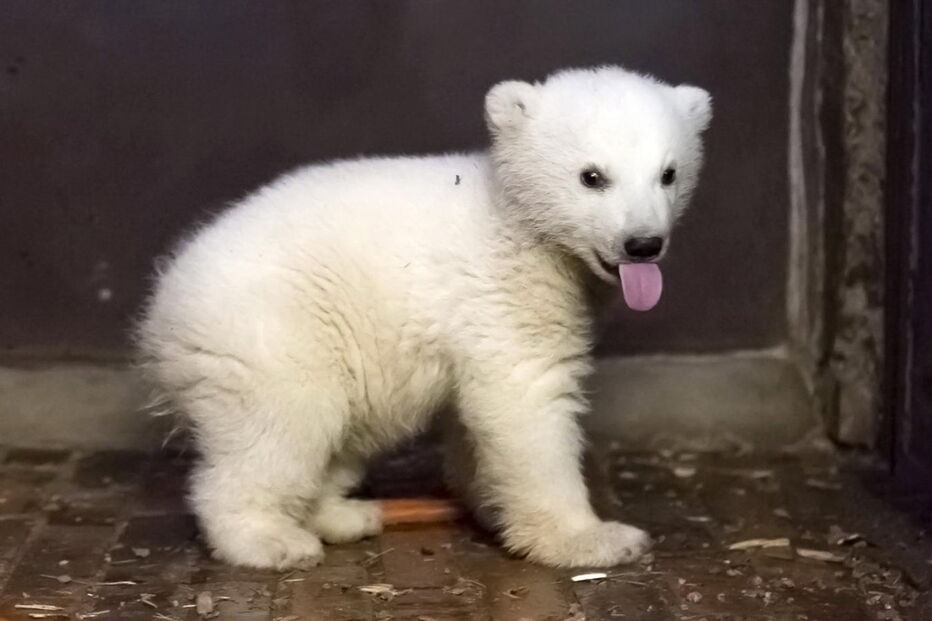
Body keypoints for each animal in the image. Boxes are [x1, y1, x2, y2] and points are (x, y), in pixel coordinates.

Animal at [135, 65, 712, 570]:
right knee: (282, 426)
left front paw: (489, 505)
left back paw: (346, 515)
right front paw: (594, 539)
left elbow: (475, 418)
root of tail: (161, 312)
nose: (643, 244)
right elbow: (527, 402)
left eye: (668, 174)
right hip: (275, 330)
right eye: (592, 177)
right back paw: (269, 540)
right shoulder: (504, 295)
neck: (514, 222)